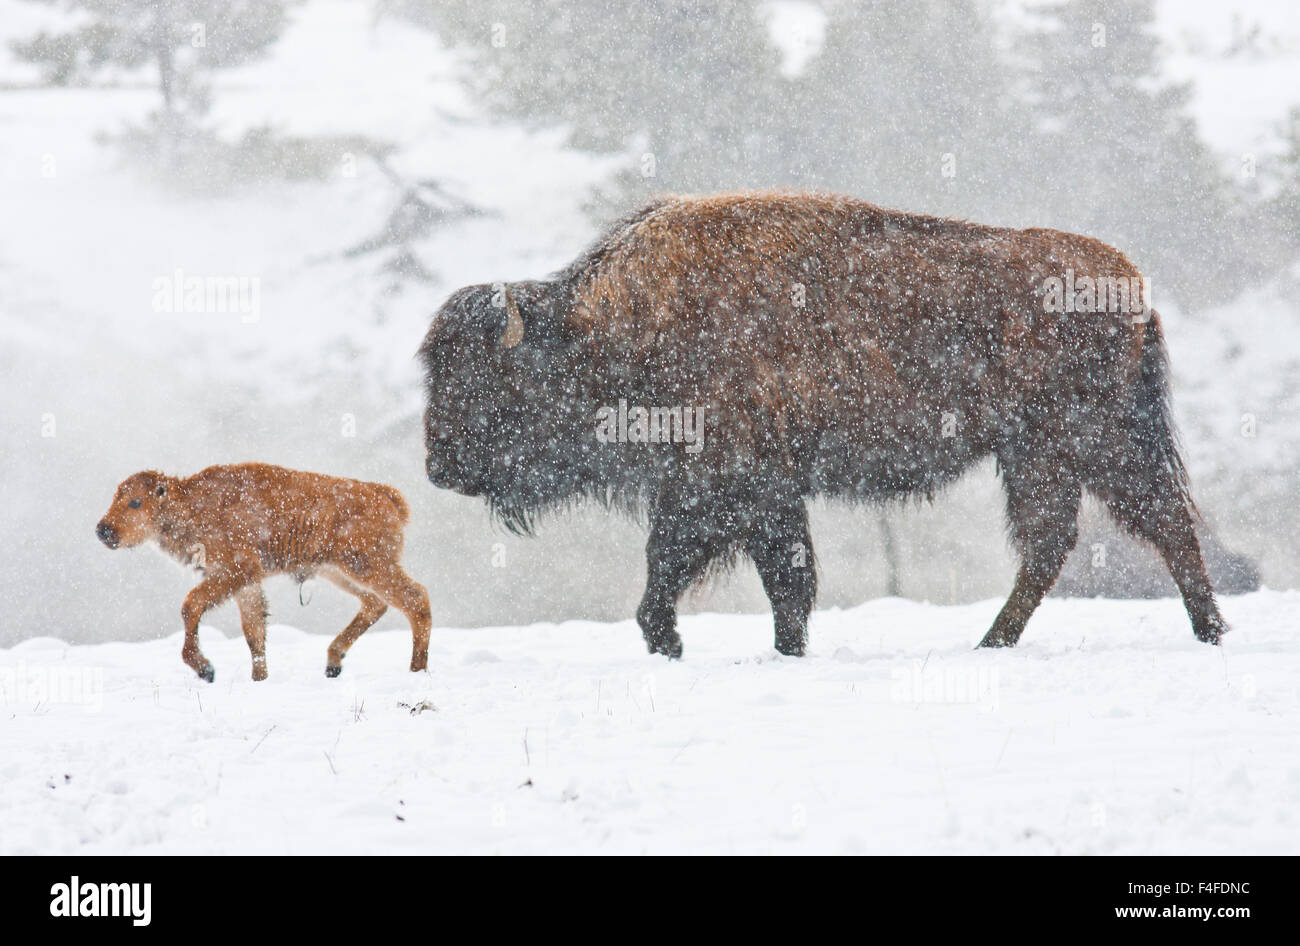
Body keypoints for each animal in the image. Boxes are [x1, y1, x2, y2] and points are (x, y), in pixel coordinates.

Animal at [96, 463, 431, 681]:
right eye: (115, 497)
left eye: (135, 502)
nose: (103, 530)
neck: (192, 504)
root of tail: (384, 495)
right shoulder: (247, 583)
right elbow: (254, 632)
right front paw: (260, 678)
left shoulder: (235, 571)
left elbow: (191, 605)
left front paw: (206, 669)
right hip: (338, 571)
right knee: (376, 603)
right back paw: (333, 663)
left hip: (366, 566)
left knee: (415, 599)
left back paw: (417, 670)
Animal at [418, 191, 1228, 657]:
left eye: (487, 380)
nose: (437, 468)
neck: (612, 327)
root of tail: (1130, 284)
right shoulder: (757, 494)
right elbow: (778, 576)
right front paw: (774, 647)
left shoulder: (725, 485)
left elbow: (696, 569)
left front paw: (679, 642)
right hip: (1039, 454)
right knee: (1062, 538)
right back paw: (995, 642)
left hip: (1086, 441)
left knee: (1157, 521)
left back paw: (1206, 632)